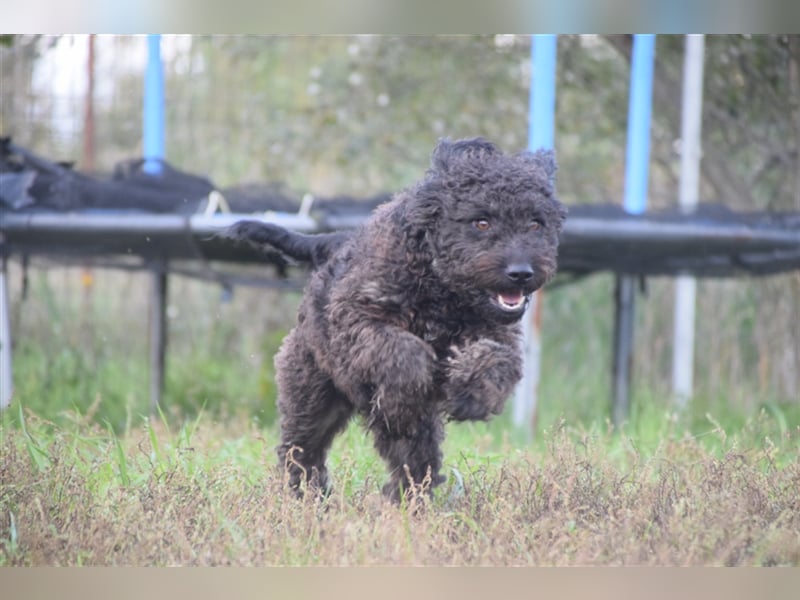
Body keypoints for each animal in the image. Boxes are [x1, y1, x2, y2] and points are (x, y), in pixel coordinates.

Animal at [222, 139, 564, 502]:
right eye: (481, 221)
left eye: (535, 223)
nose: (521, 273)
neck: (444, 293)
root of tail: (334, 241)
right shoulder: (355, 319)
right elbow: (404, 350)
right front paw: (402, 395)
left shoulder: (501, 336)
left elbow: (495, 359)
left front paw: (473, 396)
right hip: (311, 395)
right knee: (301, 450)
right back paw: (310, 497)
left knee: (412, 463)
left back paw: (405, 500)